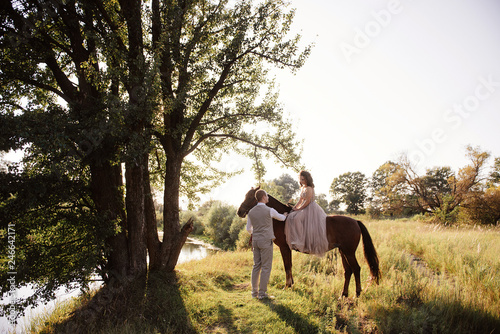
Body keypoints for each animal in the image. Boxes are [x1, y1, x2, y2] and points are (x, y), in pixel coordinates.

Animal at [236, 185, 380, 298]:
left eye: (251, 197)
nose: (239, 212)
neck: (282, 219)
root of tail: (355, 221)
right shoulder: (287, 249)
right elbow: (289, 265)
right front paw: (291, 284)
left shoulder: (284, 248)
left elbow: (287, 266)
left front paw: (287, 286)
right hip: (343, 252)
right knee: (348, 271)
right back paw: (343, 294)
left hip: (349, 252)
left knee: (356, 269)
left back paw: (357, 294)